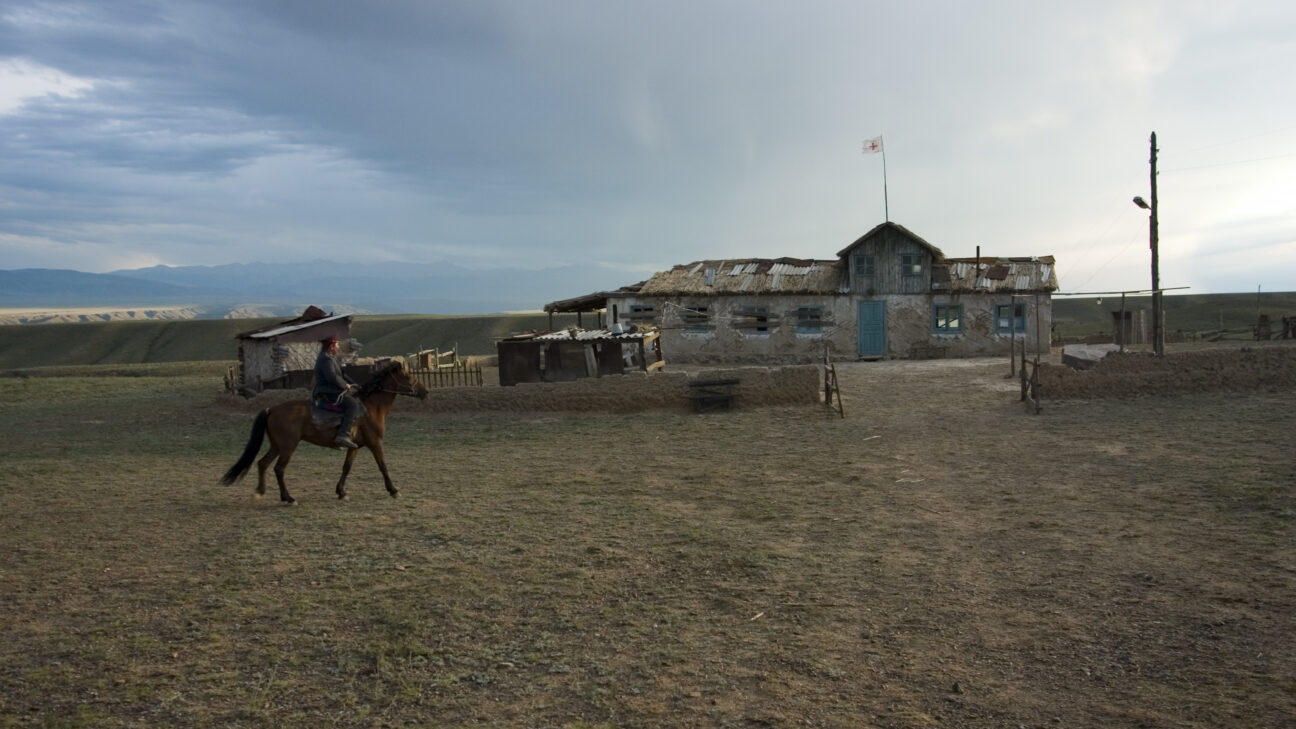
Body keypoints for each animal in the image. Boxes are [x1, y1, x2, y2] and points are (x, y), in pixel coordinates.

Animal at [220, 359, 428, 504]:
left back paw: (260, 492)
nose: (425, 392)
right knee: (278, 469)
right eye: (409, 377)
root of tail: (271, 409)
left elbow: (346, 467)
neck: (371, 407)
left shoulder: (355, 446)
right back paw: (288, 498)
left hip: (276, 446)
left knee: (262, 463)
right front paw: (393, 490)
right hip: (288, 447)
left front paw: (341, 492)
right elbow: (383, 466)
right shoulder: (375, 443)